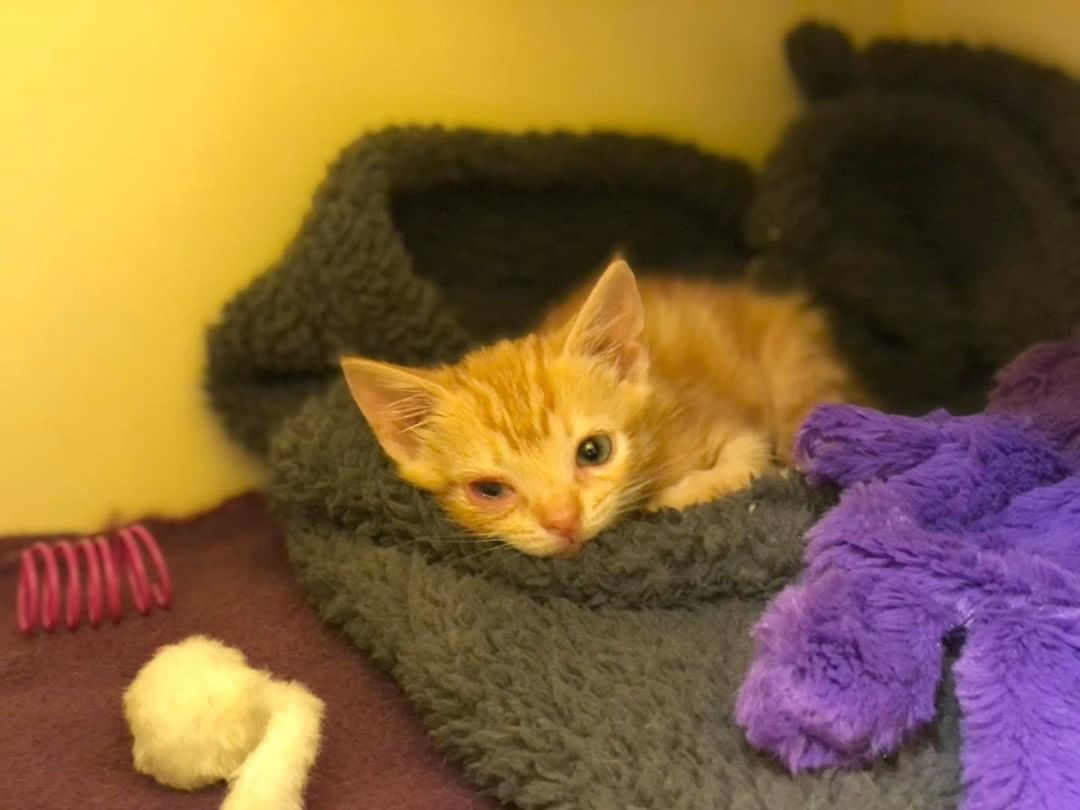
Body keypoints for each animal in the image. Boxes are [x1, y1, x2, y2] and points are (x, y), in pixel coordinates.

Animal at [339, 260, 859, 557]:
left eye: (594, 452)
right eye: (489, 490)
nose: (563, 521)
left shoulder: (722, 423)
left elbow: (748, 461)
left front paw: (671, 497)